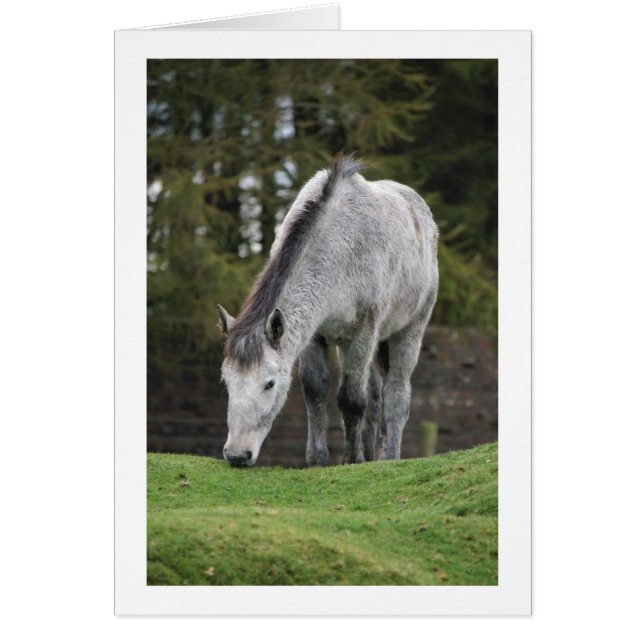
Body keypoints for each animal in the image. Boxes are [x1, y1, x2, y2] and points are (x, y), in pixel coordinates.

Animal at [217, 154, 439, 467]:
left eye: (269, 384)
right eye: (226, 382)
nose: (237, 454)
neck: (341, 248)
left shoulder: (362, 334)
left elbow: (351, 399)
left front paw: (351, 460)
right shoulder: (313, 336)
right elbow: (315, 389)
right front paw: (318, 460)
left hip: (408, 332)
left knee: (396, 395)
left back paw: (389, 457)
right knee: (374, 392)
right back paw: (370, 456)